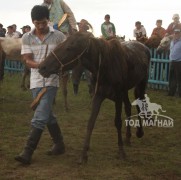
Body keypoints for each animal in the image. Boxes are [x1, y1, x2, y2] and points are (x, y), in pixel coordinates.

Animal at [39, 31, 151, 164]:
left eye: (69, 48)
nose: (42, 67)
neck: (104, 66)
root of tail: (144, 47)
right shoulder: (98, 95)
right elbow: (91, 122)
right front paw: (83, 154)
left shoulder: (118, 96)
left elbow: (118, 122)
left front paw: (121, 151)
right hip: (126, 90)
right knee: (128, 107)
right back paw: (128, 137)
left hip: (141, 83)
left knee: (140, 102)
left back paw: (139, 132)